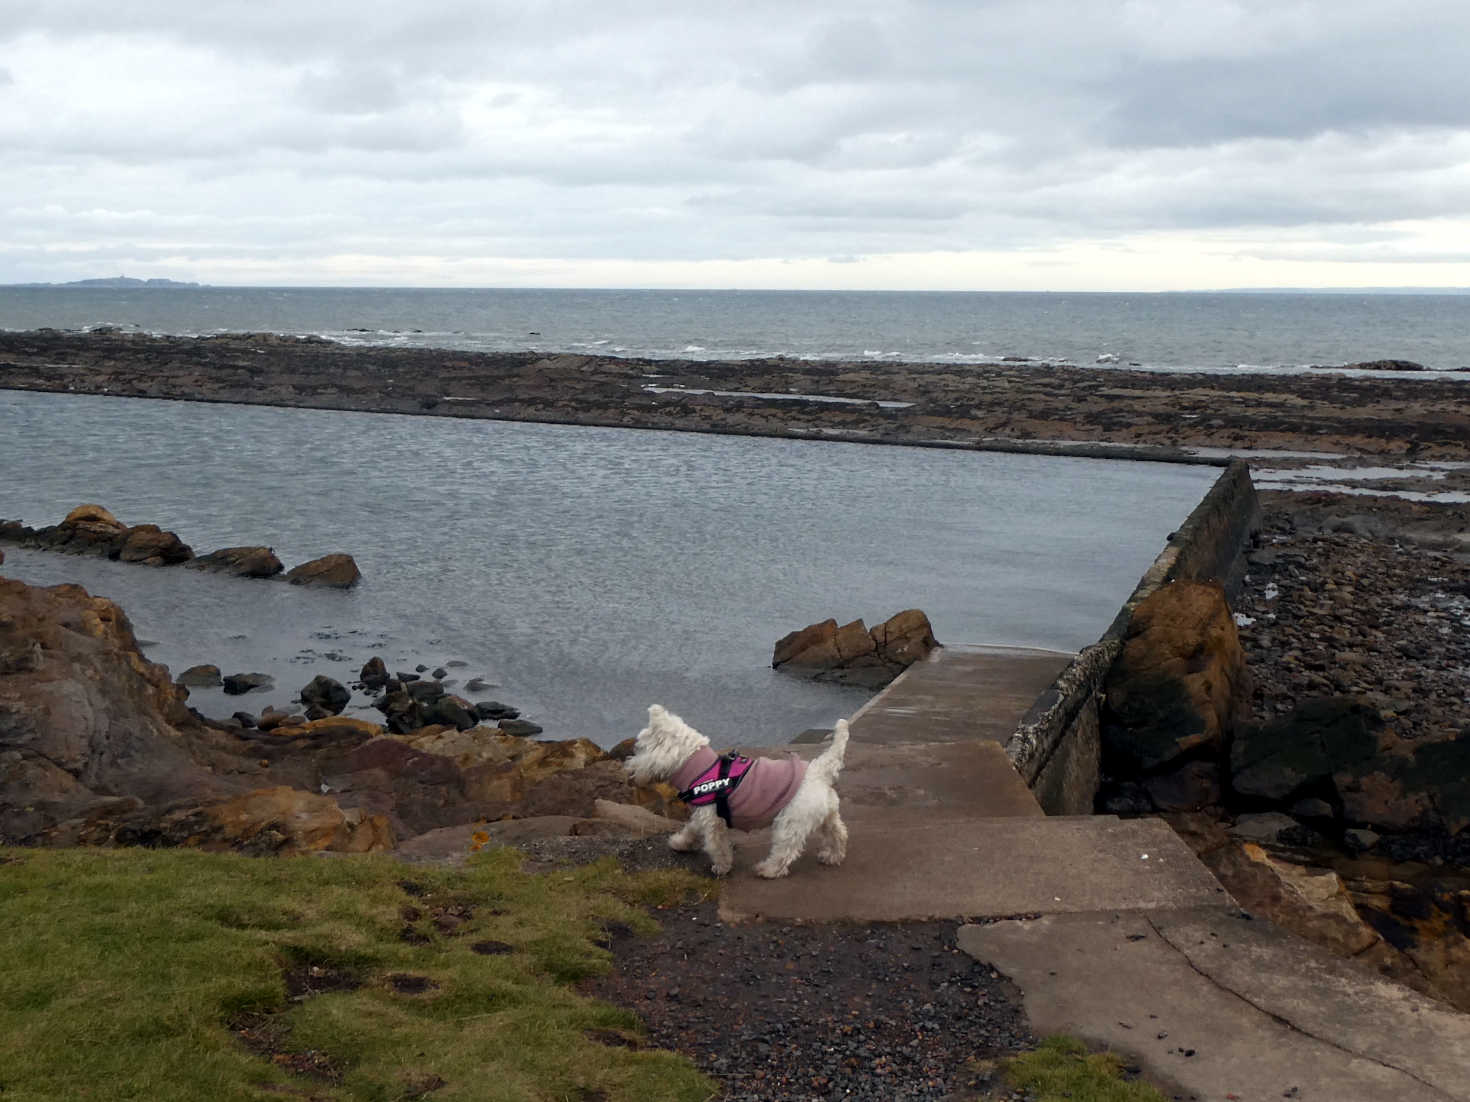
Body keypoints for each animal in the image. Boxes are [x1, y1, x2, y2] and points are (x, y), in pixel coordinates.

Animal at [623, 708, 852, 881]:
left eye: (640, 749)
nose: (629, 769)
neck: (701, 769)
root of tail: (819, 771)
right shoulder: (703, 813)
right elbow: (691, 828)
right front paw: (680, 843)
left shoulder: (712, 821)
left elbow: (717, 846)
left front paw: (722, 867)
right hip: (827, 815)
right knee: (839, 833)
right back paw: (833, 856)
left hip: (790, 822)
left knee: (784, 851)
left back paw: (767, 869)